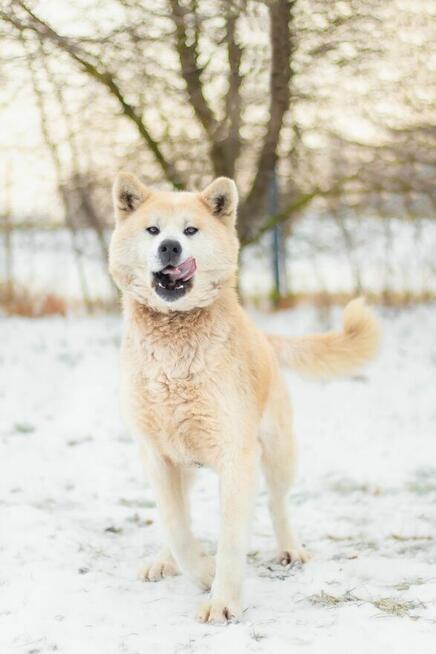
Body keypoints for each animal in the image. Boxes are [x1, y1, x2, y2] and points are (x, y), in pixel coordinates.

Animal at [110, 173, 382, 624]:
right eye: (152, 230)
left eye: (190, 231)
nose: (170, 247)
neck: (175, 351)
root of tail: (264, 335)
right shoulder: (157, 456)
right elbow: (176, 525)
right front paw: (200, 570)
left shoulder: (237, 459)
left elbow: (231, 540)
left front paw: (222, 599)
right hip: (185, 465)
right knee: (180, 515)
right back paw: (164, 560)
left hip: (278, 453)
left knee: (277, 503)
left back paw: (289, 549)